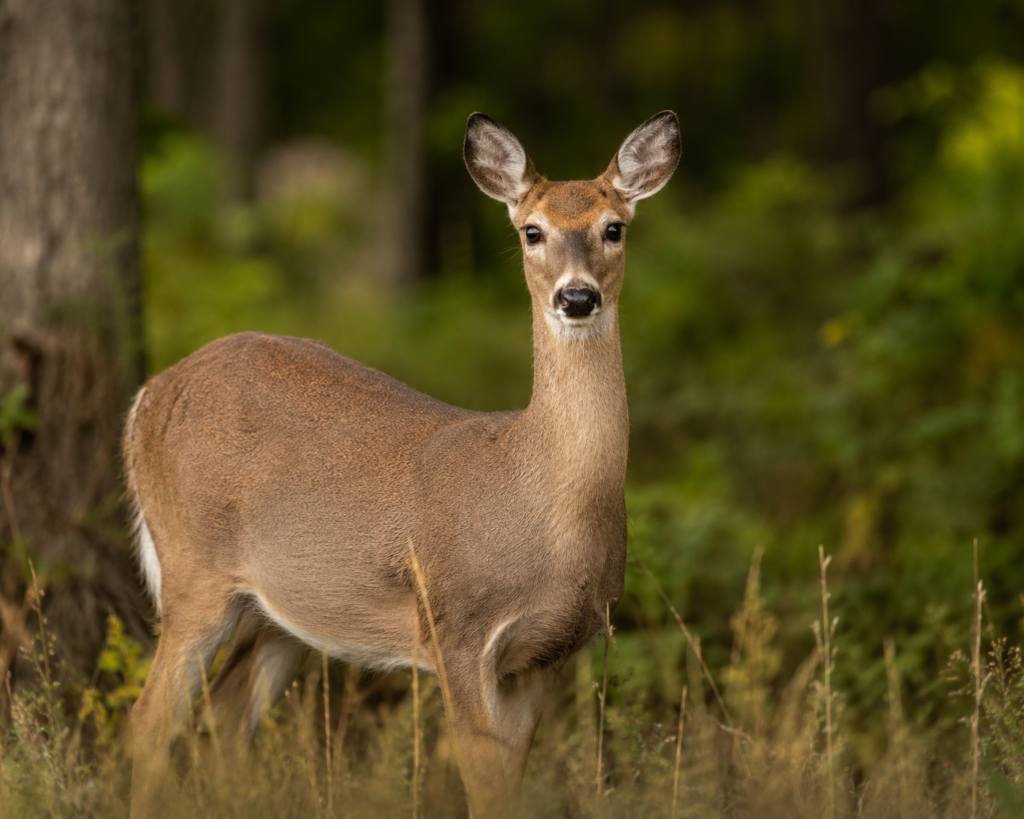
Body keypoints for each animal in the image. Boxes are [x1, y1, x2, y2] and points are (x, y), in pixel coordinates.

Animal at [124, 110, 680, 818]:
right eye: (532, 231)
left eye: (614, 227)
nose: (577, 297)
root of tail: (149, 395)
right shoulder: (456, 628)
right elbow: (483, 788)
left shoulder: (547, 656)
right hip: (194, 570)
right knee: (149, 723)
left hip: (280, 611)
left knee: (220, 722)